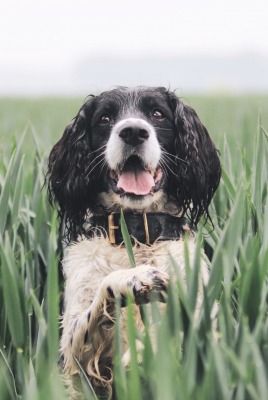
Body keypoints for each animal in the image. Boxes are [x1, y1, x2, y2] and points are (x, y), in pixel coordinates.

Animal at [47, 86, 221, 396]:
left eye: (157, 113)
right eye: (104, 118)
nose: (133, 132)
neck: (139, 234)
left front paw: (144, 353)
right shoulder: (75, 357)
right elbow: (95, 308)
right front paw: (133, 279)